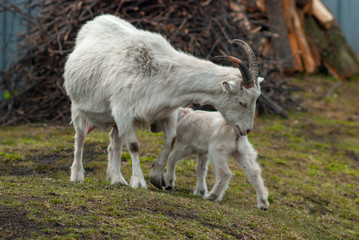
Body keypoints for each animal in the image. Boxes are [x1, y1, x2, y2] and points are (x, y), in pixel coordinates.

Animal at [64, 14, 262, 189]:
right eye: (242, 102)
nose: (247, 130)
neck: (159, 73)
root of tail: (95, 20)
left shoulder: (166, 111)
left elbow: (171, 140)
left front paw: (157, 177)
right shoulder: (123, 111)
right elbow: (134, 146)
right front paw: (139, 182)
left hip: (114, 120)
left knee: (115, 143)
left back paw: (116, 178)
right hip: (78, 107)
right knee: (80, 137)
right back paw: (77, 175)